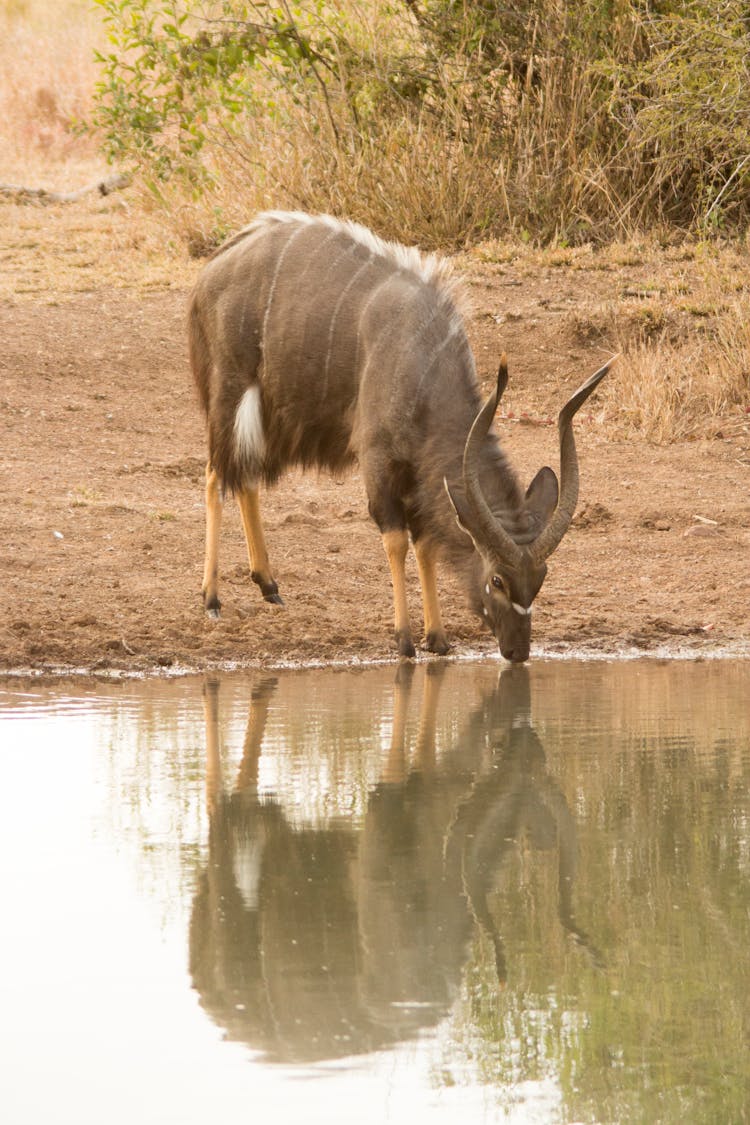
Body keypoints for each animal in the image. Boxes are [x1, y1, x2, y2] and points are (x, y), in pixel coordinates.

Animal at [188, 211, 616, 657]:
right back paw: (212, 599)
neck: (421, 362)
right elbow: (395, 539)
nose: (517, 651)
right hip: (230, 393)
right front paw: (405, 639)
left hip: (268, 415)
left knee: (246, 476)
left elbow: (425, 544)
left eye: (541, 578)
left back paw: (268, 585)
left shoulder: (419, 476)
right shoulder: (378, 460)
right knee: (216, 475)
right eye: (497, 579)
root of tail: (216, 265)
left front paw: (438, 637)